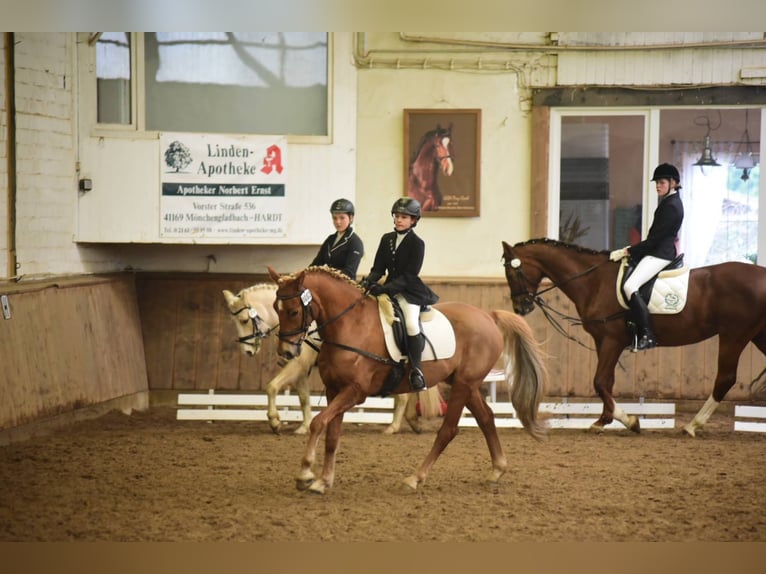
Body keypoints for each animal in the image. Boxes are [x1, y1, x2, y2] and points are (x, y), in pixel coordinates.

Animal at [222, 284, 440, 436]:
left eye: (244, 320)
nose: (247, 351)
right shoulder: (302, 369)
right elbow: (303, 398)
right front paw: (304, 426)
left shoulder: (297, 364)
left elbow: (272, 386)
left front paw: (275, 422)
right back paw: (412, 423)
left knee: (402, 396)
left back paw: (392, 427)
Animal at [268, 266, 548, 496]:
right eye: (274, 309)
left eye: (294, 311)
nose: (286, 353)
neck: (350, 324)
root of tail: (488, 315)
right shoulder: (333, 390)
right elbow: (332, 435)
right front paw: (323, 481)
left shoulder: (354, 391)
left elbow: (317, 423)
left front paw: (305, 474)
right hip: (466, 384)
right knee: (487, 418)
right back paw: (497, 470)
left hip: (463, 384)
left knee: (448, 430)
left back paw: (415, 478)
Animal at [500, 238, 766, 436]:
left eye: (512, 273)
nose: (521, 308)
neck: (594, 281)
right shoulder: (602, 340)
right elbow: (606, 382)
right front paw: (603, 420)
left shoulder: (612, 340)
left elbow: (599, 381)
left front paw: (628, 420)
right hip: (757, 335)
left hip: (734, 335)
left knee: (725, 379)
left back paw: (692, 425)